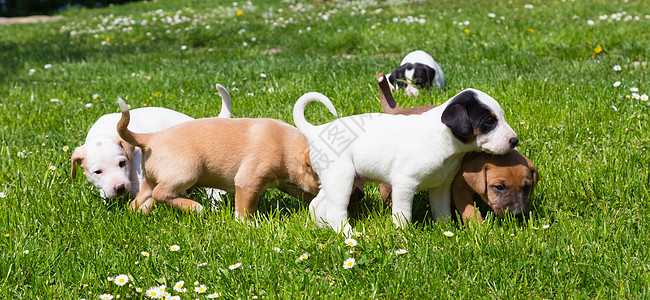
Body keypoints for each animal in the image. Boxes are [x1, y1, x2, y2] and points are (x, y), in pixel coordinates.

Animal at [117, 98, 320, 218]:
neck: (287, 146)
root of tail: (151, 137)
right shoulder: (248, 182)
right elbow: (245, 208)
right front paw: (248, 225)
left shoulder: (284, 183)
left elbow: (303, 193)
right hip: (187, 173)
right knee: (161, 193)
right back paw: (195, 207)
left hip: (150, 181)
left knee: (140, 200)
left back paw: (139, 215)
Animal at [294, 83, 516, 233]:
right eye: (489, 122)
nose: (515, 140)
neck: (442, 138)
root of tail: (316, 131)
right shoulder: (404, 184)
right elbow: (403, 215)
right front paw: (403, 235)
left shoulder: (441, 186)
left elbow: (442, 211)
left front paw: (446, 231)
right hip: (342, 179)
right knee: (335, 211)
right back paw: (350, 235)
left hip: (332, 181)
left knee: (317, 205)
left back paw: (323, 228)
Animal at [372, 72, 540, 223]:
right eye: (490, 122)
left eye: (526, 188)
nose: (515, 140)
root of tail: (400, 111)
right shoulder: (458, 186)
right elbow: (470, 211)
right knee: (385, 187)